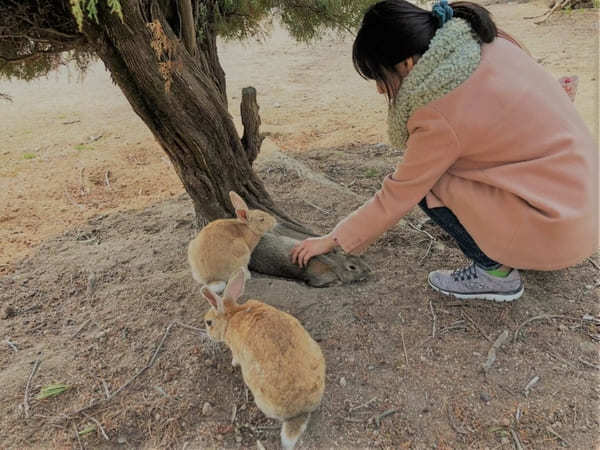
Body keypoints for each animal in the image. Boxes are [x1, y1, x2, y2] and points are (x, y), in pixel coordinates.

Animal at [202, 268, 326, 448]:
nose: (208, 335)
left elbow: (235, 358)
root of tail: (300, 412)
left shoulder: (235, 350)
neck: (232, 315)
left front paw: (233, 363)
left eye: (209, 323)